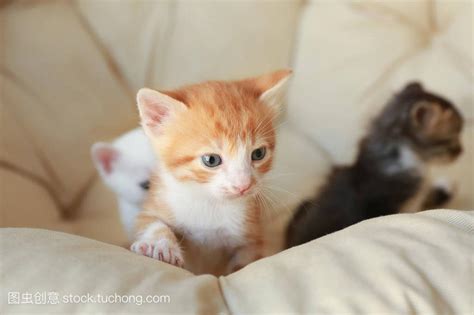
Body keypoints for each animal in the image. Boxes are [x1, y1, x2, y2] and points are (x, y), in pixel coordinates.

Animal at [131, 70, 290, 276]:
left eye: (258, 154)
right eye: (211, 160)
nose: (243, 185)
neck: (209, 202)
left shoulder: (251, 233)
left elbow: (245, 261)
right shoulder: (156, 201)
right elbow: (150, 222)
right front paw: (160, 245)